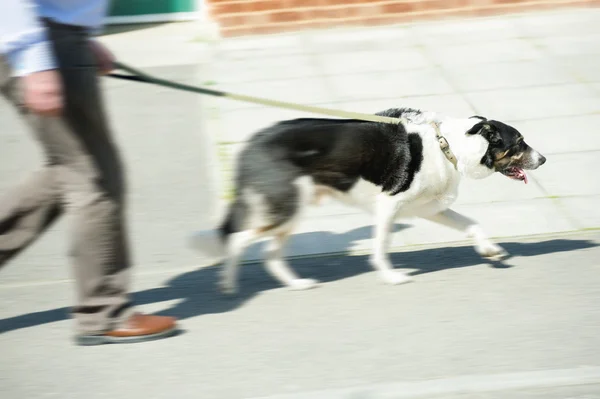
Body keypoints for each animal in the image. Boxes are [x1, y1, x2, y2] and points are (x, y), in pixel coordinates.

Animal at [190, 108, 548, 296]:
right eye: (519, 142)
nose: (544, 159)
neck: (448, 146)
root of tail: (254, 142)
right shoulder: (388, 205)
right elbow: (380, 248)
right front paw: (390, 276)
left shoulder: (427, 207)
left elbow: (472, 224)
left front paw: (490, 250)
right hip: (285, 207)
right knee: (238, 240)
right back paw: (227, 283)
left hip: (290, 211)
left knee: (268, 253)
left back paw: (297, 283)